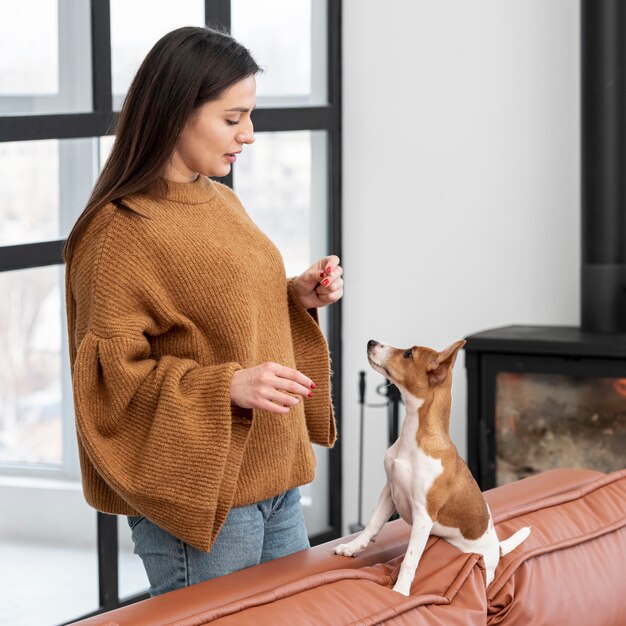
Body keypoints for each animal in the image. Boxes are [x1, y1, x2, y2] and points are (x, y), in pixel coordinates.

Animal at [332, 338, 528, 592]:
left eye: (408, 354)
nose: (371, 341)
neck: (414, 438)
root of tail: (497, 547)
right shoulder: (389, 491)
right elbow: (372, 524)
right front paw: (353, 547)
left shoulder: (423, 516)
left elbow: (410, 558)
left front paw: (400, 591)